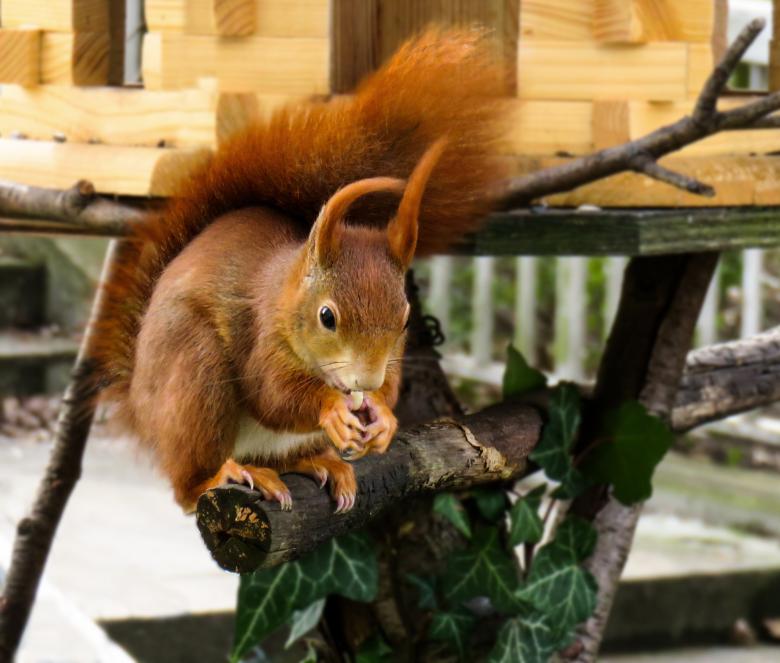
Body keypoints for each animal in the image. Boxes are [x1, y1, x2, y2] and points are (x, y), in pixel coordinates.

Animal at [93, 29, 509, 513]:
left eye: (406, 318)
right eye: (327, 316)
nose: (366, 380)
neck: (287, 293)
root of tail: (140, 408)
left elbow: (387, 390)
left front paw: (383, 414)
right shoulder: (262, 335)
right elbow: (273, 394)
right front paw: (332, 407)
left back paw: (319, 463)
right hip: (195, 375)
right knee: (188, 485)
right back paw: (226, 474)